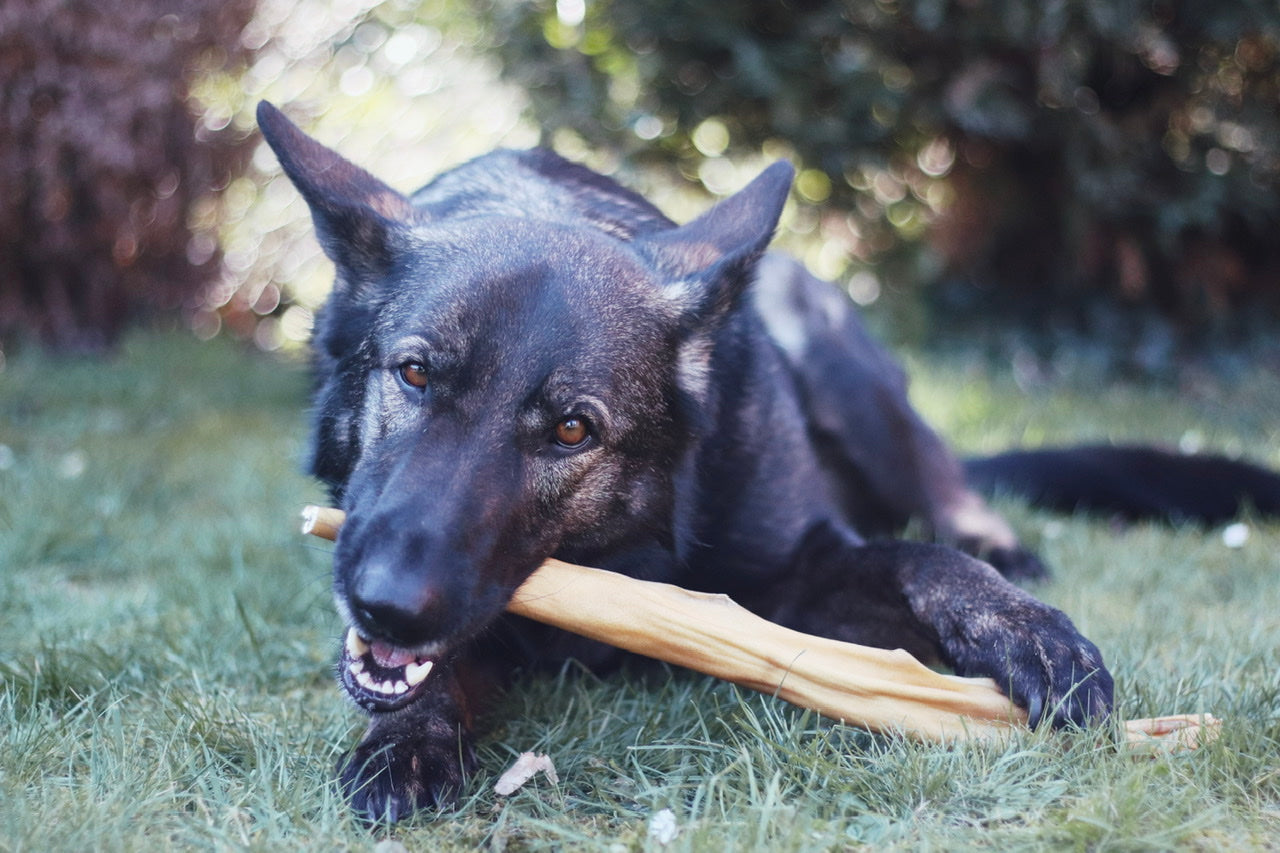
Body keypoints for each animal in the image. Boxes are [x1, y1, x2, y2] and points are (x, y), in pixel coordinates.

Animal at [254, 101, 1274, 824]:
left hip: (843, 368)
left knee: (948, 498)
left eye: (574, 431)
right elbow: (439, 673)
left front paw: (1022, 626)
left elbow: (921, 558)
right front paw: (408, 737)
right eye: (415, 374)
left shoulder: (797, 579)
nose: (389, 604)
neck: (625, 543)